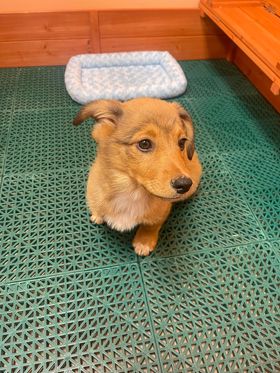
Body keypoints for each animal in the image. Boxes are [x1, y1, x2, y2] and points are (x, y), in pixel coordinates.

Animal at [73, 96, 202, 256]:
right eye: (144, 143)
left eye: (182, 142)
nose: (184, 184)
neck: (132, 192)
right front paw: (97, 215)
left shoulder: (162, 209)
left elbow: (152, 225)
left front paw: (144, 241)